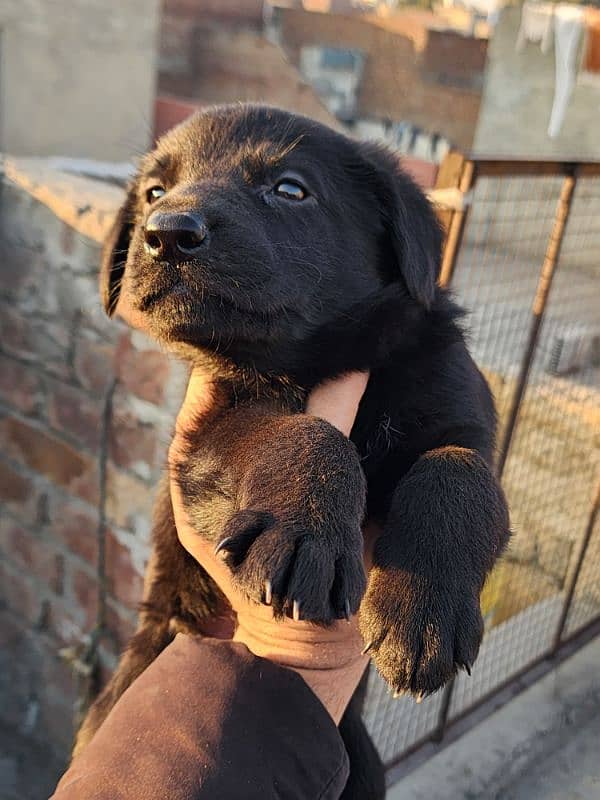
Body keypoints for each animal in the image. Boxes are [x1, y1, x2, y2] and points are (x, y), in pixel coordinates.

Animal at [77, 104, 510, 792]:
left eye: (289, 189)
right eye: (153, 192)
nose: (166, 232)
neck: (314, 359)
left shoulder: (465, 416)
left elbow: (457, 472)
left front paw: (423, 612)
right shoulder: (210, 430)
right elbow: (305, 432)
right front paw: (307, 535)